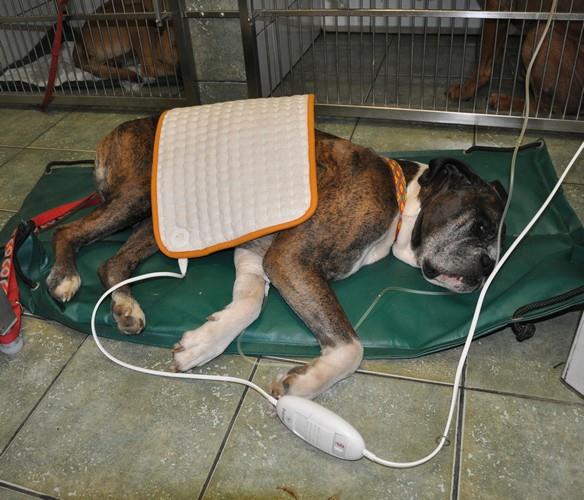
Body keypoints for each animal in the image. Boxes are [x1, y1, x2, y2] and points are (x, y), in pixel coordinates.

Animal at [46, 116, 506, 400]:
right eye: (483, 227)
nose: (488, 268)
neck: (402, 197)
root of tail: (117, 130)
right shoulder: (289, 258)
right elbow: (350, 347)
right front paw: (305, 384)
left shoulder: (259, 255)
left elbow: (248, 304)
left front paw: (203, 342)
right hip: (140, 196)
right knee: (66, 231)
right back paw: (65, 277)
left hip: (161, 227)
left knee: (112, 264)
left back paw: (125, 307)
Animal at [447, 0, 584, 115]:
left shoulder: (496, 8)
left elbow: (483, 63)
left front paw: (466, 90)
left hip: (538, 35)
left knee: (546, 108)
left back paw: (504, 102)